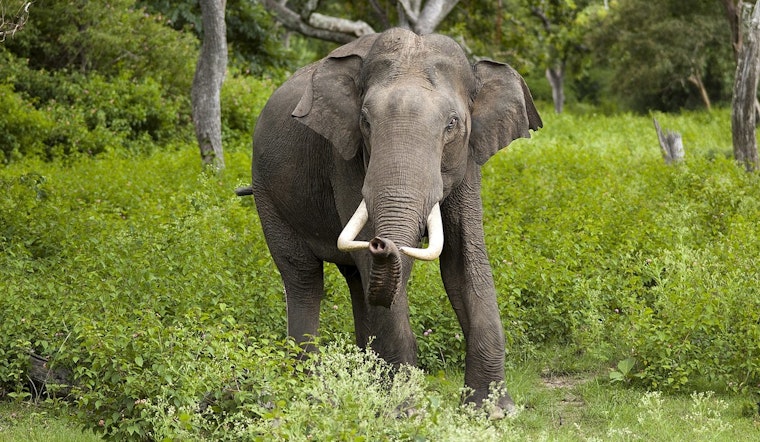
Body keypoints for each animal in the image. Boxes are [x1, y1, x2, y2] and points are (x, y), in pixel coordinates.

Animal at [244, 27, 542, 413]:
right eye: (365, 121)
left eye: (452, 124)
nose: (380, 242)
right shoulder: (345, 157)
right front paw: (406, 411)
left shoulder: (468, 159)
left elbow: (464, 262)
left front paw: (493, 412)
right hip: (267, 194)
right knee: (304, 278)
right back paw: (309, 390)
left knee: (356, 281)